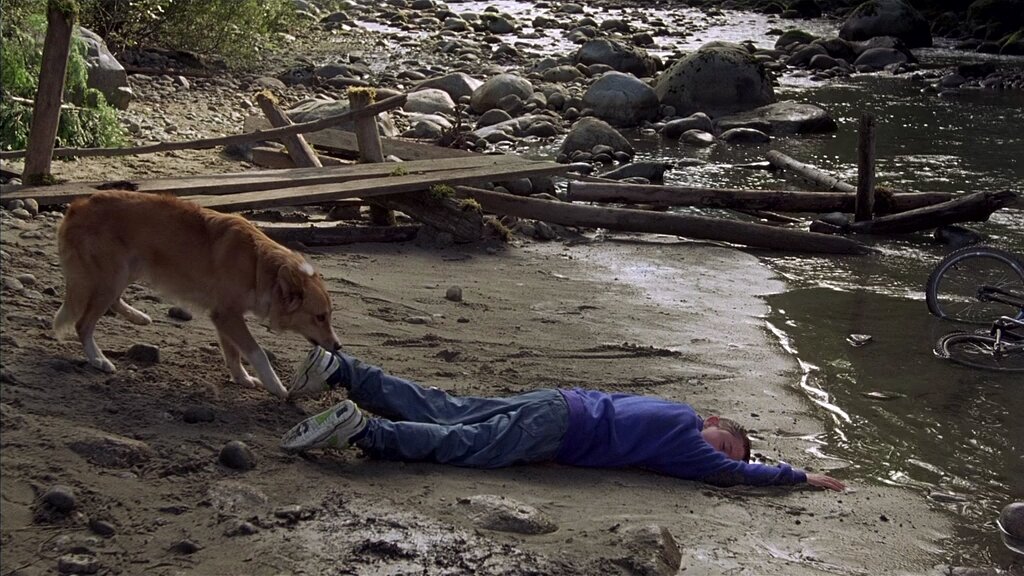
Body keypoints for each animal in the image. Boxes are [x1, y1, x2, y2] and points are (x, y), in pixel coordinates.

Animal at [53, 190, 341, 399]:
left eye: (328, 316)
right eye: (319, 317)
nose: (338, 346)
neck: (260, 268)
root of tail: (78, 205)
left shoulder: (225, 318)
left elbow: (233, 353)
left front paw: (242, 378)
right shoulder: (228, 316)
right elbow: (256, 352)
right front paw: (277, 387)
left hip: (124, 273)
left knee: (111, 302)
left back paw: (138, 317)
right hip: (111, 277)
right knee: (83, 324)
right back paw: (98, 359)